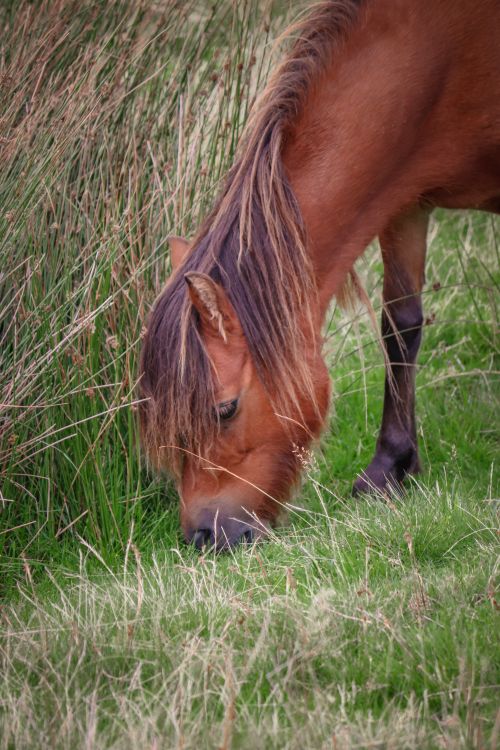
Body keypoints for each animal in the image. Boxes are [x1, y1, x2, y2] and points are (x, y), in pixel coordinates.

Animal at [140, 0, 500, 550]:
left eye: (225, 409)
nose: (202, 535)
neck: (442, 66)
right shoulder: (405, 202)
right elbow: (401, 327)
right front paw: (388, 470)